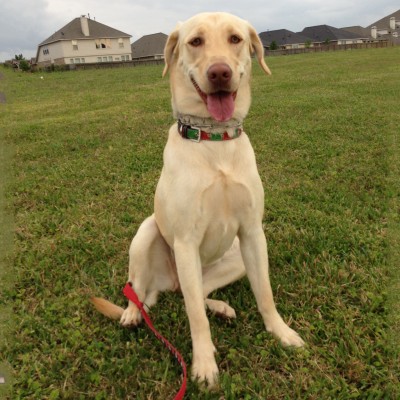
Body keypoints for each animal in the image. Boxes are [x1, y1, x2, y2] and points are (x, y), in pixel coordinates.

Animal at [94, 12, 304, 388]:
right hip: (147, 234)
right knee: (142, 290)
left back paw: (222, 308)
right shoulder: (185, 241)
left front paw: (280, 332)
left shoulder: (253, 233)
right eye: (195, 42)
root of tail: (169, 283)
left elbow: (264, 293)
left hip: (233, 261)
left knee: (194, 294)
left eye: (235, 39)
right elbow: (194, 317)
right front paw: (204, 364)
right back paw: (132, 313)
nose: (219, 72)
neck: (214, 140)